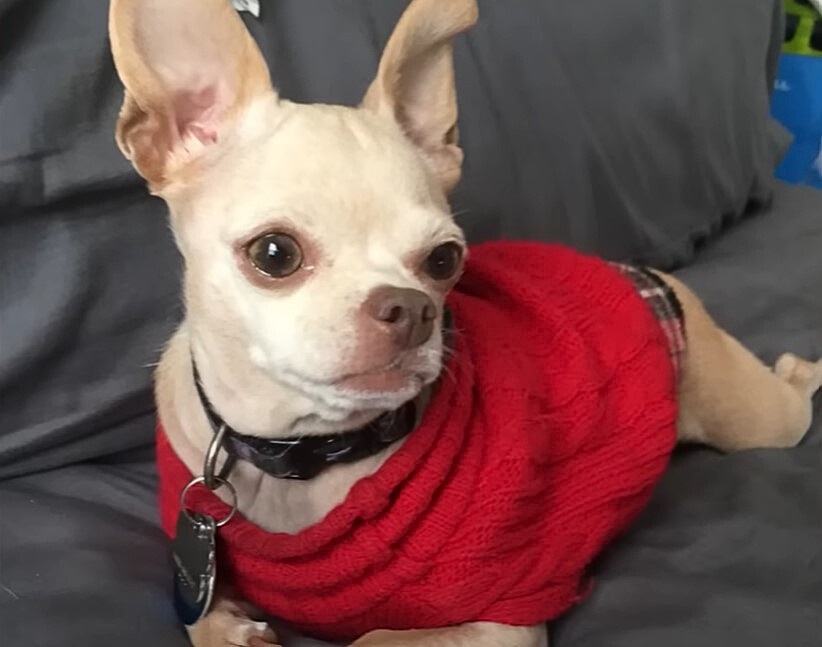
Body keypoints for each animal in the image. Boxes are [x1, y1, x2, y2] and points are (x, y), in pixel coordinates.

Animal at [108, 1, 822, 647]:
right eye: (275, 254)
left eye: (445, 260)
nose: (411, 307)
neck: (302, 456)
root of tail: (642, 273)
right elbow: (202, 619)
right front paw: (234, 628)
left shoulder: (497, 619)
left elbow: (378, 638)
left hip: (750, 416)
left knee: (789, 404)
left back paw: (802, 368)